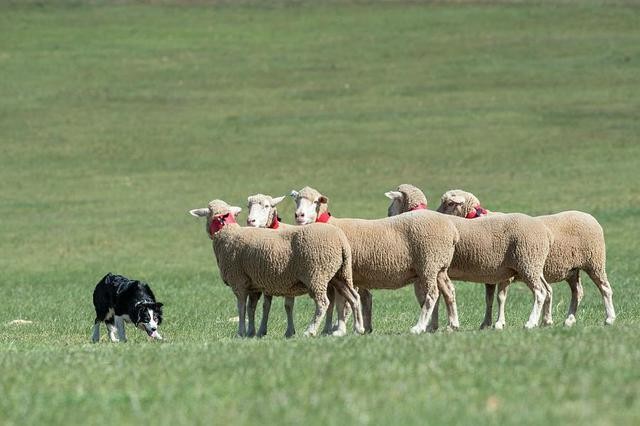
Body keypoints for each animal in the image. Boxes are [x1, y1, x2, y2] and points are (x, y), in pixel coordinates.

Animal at [188, 199, 362, 336]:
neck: (227, 232)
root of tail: (341, 240)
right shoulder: (254, 284)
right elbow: (251, 308)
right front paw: (251, 333)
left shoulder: (238, 281)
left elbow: (241, 308)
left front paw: (241, 332)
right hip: (340, 274)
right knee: (354, 297)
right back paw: (358, 328)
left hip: (316, 273)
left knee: (323, 303)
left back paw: (310, 331)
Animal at [288, 186, 460, 336]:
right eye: (296, 200)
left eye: (315, 201)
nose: (299, 215)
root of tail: (453, 231)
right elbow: (339, 303)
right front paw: (331, 330)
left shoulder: (344, 275)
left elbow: (341, 303)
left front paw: (339, 329)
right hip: (439, 267)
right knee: (449, 291)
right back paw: (453, 324)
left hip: (428, 264)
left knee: (432, 295)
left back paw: (419, 327)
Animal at [382, 184, 556, 330]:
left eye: (449, 203)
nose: (388, 213)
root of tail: (546, 232)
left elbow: (430, 298)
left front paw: (431, 325)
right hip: (533, 266)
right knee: (547, 289)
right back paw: (546, 320)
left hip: (527, 262)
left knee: (540, 292)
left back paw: (531, 322)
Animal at [436, 188, 616, 328]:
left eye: (450, 203)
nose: (436, 215)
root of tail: (590, 217)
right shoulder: (490, 274)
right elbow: (489, 299)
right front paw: (486, 323)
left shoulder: (504, 275)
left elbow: (501, 298)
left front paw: (499, 323)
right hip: (571, 270)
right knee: (577, 292)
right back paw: (568, 320)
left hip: (593, 262)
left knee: (604, 288)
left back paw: (609, 318)